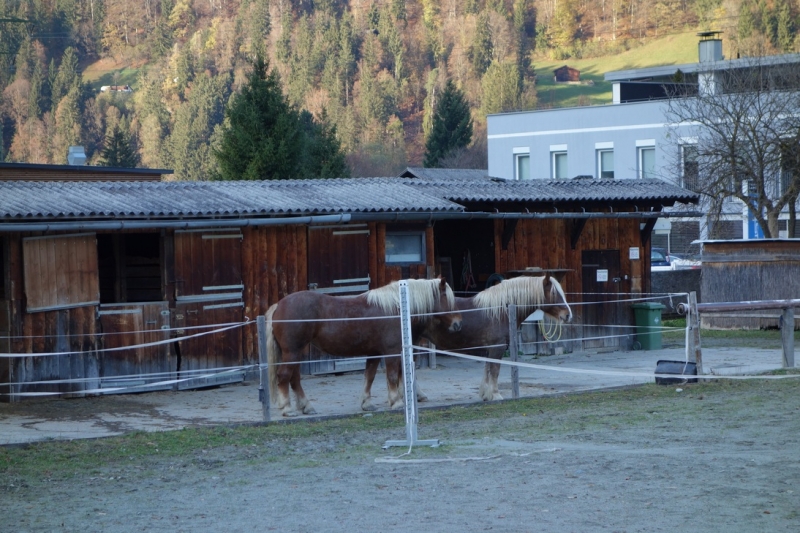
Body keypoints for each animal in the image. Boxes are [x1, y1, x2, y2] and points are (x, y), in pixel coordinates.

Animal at [266, 276, 460, 418]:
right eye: (447, 298)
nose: (458, 324)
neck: (396, 308)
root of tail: (279, 305)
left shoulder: (374, 354)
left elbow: (369, 377)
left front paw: (367, 404)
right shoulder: (391, 352)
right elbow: (392, 376)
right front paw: (396, 402)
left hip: (295, 352)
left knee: (294, 379)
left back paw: (306, 406)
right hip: (292, 352)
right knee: (284, 376)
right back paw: (287, 409)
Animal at [416, 274, 572, 400]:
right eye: (554, 293)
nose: (568, 315)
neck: (501, 310)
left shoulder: (489, 348)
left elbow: (487, 369)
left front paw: (485, 394)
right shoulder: (497, 347)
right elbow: (495, 371)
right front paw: (496, 395)